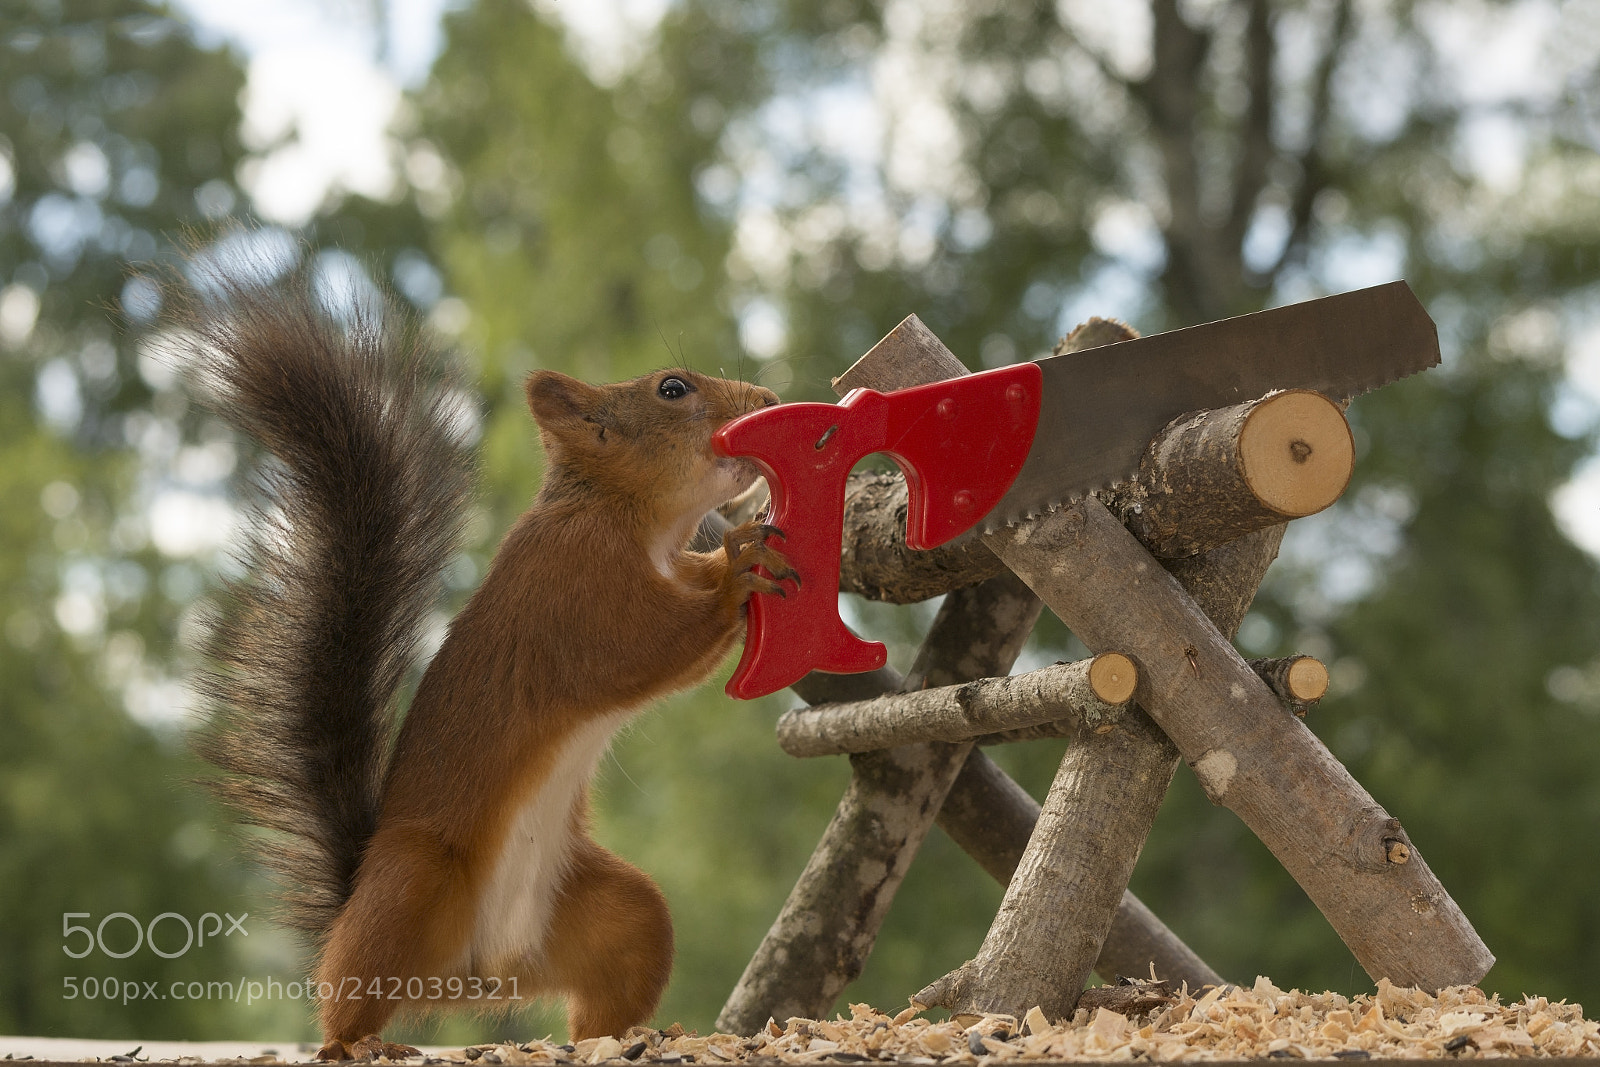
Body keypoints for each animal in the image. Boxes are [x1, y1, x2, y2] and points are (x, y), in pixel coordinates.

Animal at [180, 272, 792, 1060]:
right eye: (672, 388)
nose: (770, 398)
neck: (629, 517)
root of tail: (479, 977)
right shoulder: (573, 590)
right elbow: (639, 648)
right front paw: (737, 567)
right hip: (411, 883)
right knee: (348, 991)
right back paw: (356, 1042)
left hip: (619, 912)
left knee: (608, 985)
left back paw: (631, 1036)